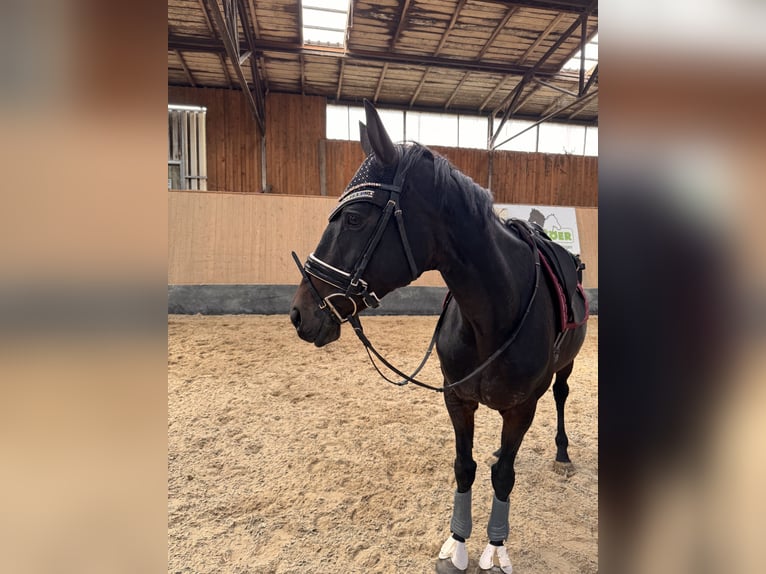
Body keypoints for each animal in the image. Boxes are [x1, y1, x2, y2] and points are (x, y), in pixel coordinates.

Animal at [292, 101, 588, 572]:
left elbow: (505, 476)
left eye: (354, 219)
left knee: (561, 396)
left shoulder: (522, 408)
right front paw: (457, 543)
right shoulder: (457, 398)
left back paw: (562, 453)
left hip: (565, 367)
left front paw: (496, 549)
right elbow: (464, 467)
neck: (492, 315)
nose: (300, 312)